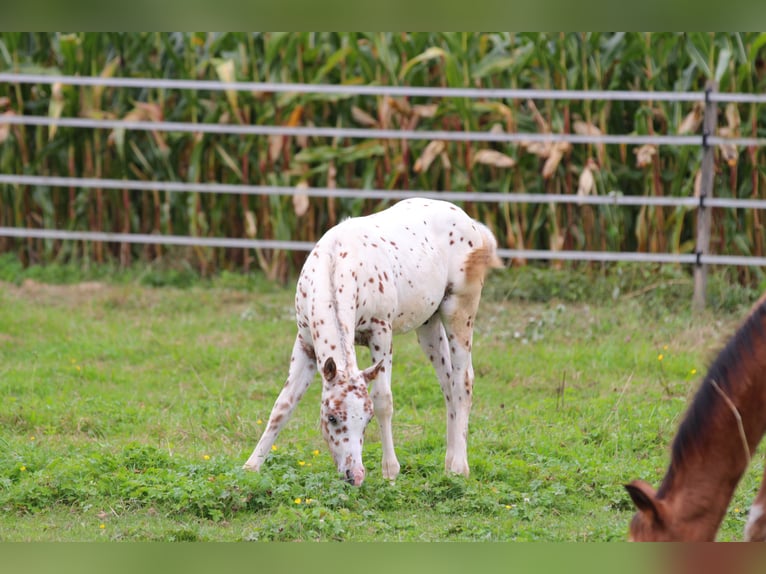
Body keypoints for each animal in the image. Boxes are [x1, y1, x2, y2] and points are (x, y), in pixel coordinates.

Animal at [242, 198, 502, 486]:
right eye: (332, 417)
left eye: (366, 420)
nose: (354, 475)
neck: (336, 263)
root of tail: (473, 225)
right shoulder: (306, 345)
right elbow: (283, 404)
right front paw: (250, 467)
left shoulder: (381, 333)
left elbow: (382, 400)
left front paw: (390, 470)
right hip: (429, 325)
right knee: (447, 383)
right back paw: (448, 464)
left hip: (459, 312)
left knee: (463, 382)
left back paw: (459, 467)